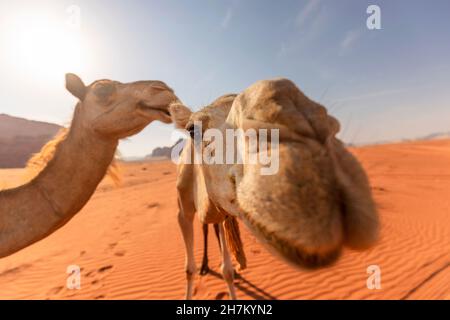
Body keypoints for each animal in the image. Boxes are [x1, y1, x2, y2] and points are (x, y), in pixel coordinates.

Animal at [170, 78, 380, 300]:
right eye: (192, 129)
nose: (301, 114)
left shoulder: (224, 211)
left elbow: (226, 270)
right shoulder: (182, 212)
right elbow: (189, 269)